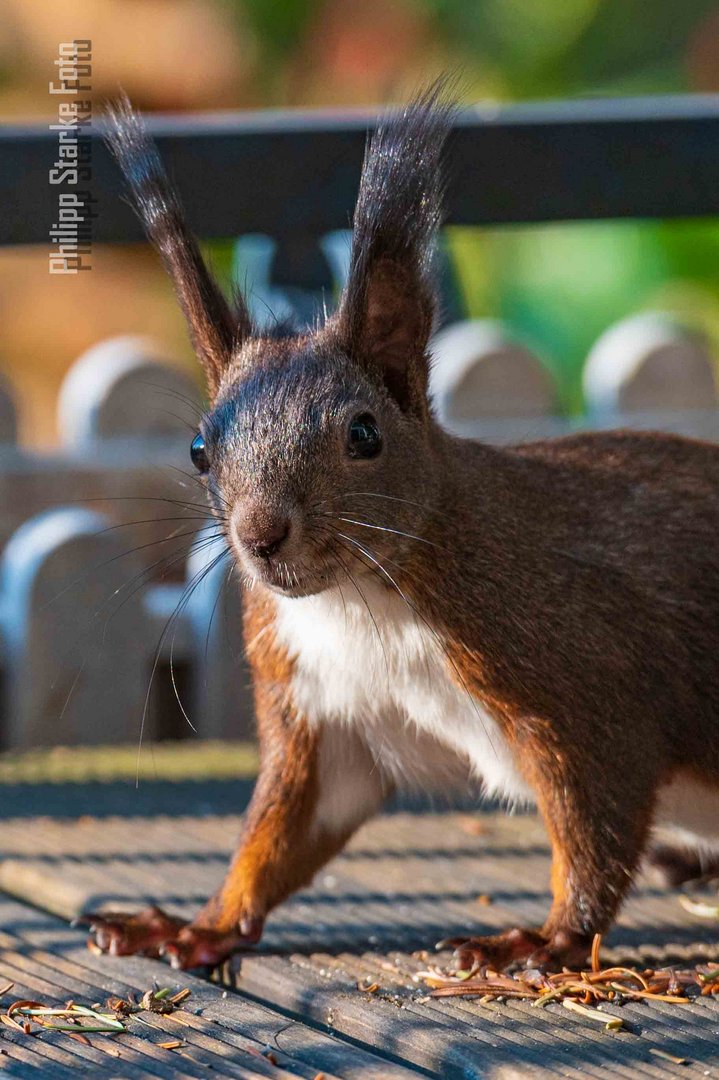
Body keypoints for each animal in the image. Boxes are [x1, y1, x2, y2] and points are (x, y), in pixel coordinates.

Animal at [84, 86, 719, 972]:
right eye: (199, 450)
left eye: (363, 435)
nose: (261, 535)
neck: (362, 602)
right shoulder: (323, 713)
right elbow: (282, 831)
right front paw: (200, 923)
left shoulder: (583, 691)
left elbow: (596, 825)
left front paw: (543, 941)